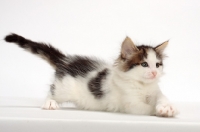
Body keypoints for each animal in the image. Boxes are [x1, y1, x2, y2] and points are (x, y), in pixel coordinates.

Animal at [3, 33, 178, 117]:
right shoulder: (130, 103)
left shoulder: (155, 92)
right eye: (144, 64)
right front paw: (162, 111)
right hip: (64, 87)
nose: (154, 73)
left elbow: (162, 98)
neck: (142, 85)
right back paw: (50, 103)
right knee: (52, 91)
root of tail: (66, 60)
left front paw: (167, 107)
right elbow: (146, 107)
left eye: (158, 65)